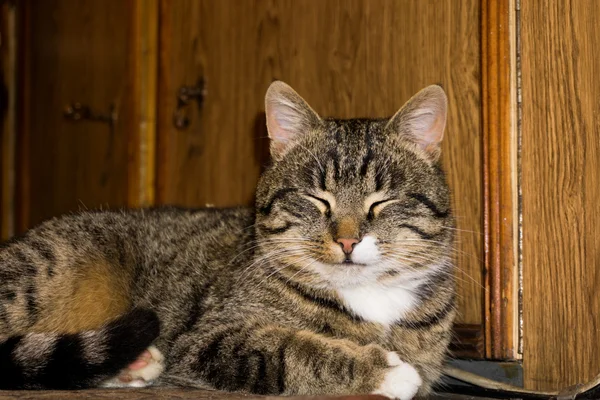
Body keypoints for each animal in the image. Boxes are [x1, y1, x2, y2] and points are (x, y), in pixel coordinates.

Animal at [0, 79, 454, 398]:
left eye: (382, 201)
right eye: (316, 198)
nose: (347, 242)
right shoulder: (208, 338)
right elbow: (292, 349)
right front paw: (386, 371)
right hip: (42, 272)